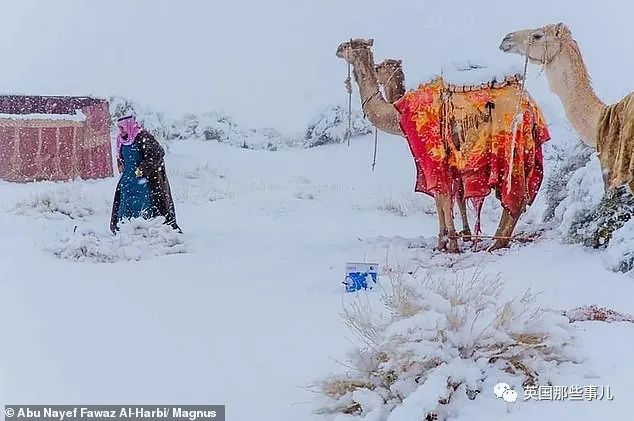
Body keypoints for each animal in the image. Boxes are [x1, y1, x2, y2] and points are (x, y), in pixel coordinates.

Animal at [334, 37, 544, 251]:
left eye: (348, 46)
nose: (337, 49)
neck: (398, 113)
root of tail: (530, 106)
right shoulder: (451, 160)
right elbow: (451, 195)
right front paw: (459, 237)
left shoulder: (431, 153)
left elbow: (440, 195)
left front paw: (448, 242)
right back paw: (496, 241)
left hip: (509, 143)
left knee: (515, 197)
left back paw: (495, 244)